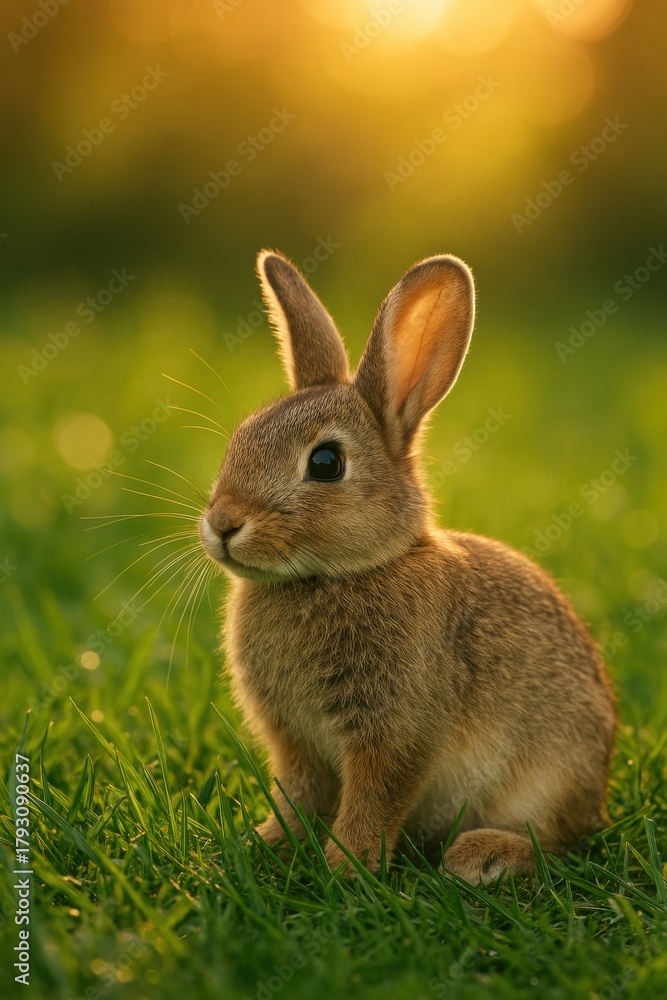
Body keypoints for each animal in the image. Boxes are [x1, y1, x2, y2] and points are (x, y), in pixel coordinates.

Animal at [199, 249, 616, 885]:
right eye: (239, 439)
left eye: (326, 462)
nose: (222, 524)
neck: (338, 575)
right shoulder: (296, 744)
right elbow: (297, 798)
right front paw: (262, 845)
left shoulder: (395, 731)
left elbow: (375, 799)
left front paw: (346, 868)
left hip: (550, 776)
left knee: (557, 841)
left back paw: (481, 857)